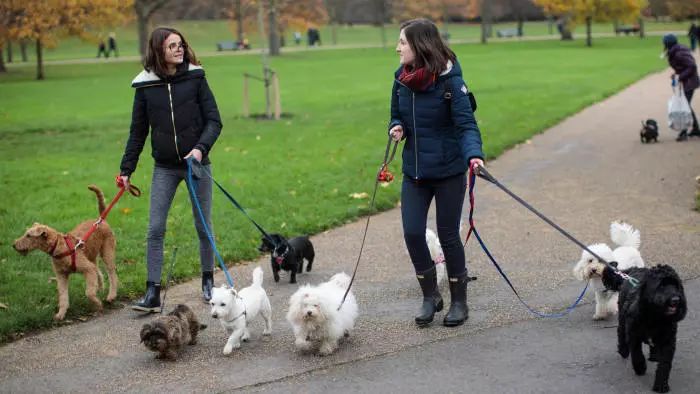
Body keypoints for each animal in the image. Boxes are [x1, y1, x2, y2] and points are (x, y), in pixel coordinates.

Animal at [11, 185, 118, 320]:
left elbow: (88, 292)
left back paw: (111, 296)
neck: (58, 246)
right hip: (91, 256)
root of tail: (100, 220)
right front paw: (60, 314)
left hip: (107, 252)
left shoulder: (87, 268)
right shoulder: (61, 275)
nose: (14, 245)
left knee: (112, 274)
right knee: (98, 271)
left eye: (29, 235)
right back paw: (100, 288)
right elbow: (63, 297)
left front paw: (97, 304)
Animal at [588, 262, 688, 394]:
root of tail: (633, 270)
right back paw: (624, 351)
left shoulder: (668, 341)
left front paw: (661, 385)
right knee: (620, 332)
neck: (655, 317)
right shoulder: (633, 335)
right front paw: (640, 367)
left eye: (676, 285)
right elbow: (637, 353)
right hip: (622, 316)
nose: (675, 300)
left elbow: (664, 364)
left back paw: (654, 355)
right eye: (661, 285)